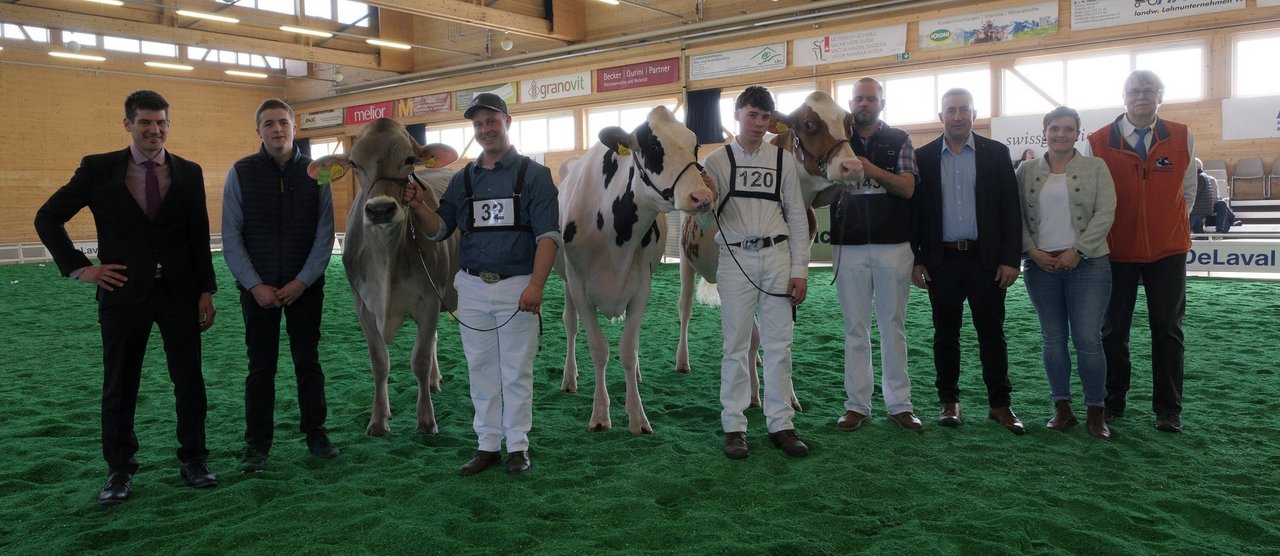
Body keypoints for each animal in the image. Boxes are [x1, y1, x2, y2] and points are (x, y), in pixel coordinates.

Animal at [308, 118, 461, 436]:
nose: (380, 209)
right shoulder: (363, 306)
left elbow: (419, 359)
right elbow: (380, 362)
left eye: (409, 159)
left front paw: (426, 420)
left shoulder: (430, 298)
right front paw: (378, 420)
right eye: (354, 163)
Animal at [558, 106, 716, 434]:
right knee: (570, 324)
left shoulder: (641, 286)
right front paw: (600, 415)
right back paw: (569, 377)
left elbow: (628, 349)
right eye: (653, 147)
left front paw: (637, 416)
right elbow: (599, 348)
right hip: (566, 282)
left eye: (694, 146)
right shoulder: (579, 286)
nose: (702, 197)